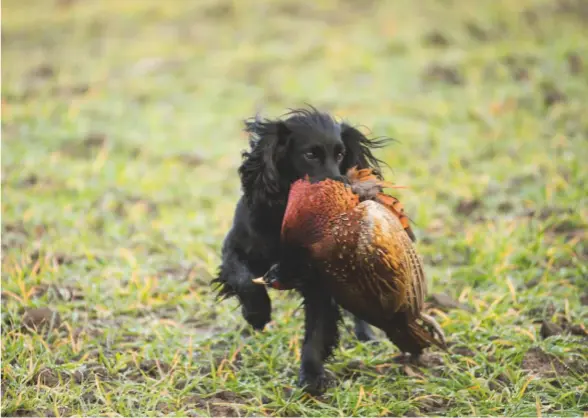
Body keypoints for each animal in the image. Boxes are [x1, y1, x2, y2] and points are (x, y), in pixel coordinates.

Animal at [212, 106, 390, 394]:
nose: (346, 190)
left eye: (340, 154)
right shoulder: (234, 248)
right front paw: (257, 313)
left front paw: (312, 376)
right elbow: (244, 280)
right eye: (310, 155)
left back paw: (367, 336)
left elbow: (317, 331)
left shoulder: (319, 279)